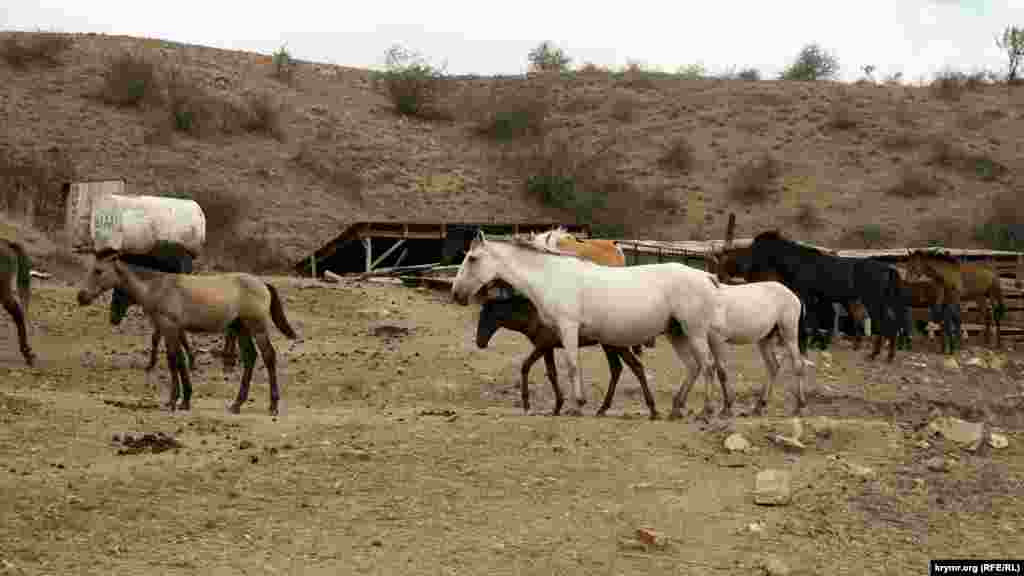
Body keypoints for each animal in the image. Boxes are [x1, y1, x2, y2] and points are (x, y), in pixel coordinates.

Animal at [454, 226, 729, 420]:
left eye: (472, 258)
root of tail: (706, 276)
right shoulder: (555, 338)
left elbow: (572, 365)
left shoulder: (568, 328)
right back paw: (675, 409)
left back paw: (706, 410)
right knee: (693, 367)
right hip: (676, 333)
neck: (551, 276)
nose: (456, 294)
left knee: (707, 366)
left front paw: (577, 405)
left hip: (694, 332)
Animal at [745, 228, 905, 358]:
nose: (748, 268)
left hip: (873, 301)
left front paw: (809, 344)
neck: (799, 262)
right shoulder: (817, 298)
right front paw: (817, 343)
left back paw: (877, 355)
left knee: (885, 324)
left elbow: (810, 319)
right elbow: (817, 320)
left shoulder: (806, 296)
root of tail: (888, 268)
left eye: (757, 246)